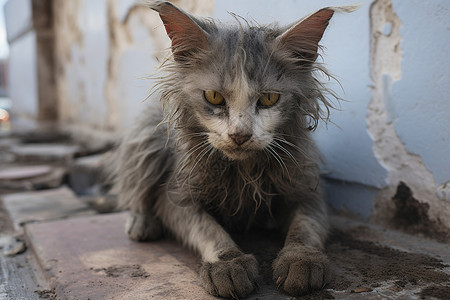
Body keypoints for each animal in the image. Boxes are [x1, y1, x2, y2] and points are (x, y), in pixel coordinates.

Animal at [114, 1, 346, 298]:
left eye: (269, 98)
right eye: (213, 97)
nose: (239, 135)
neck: (244, 171)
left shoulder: (307, 188)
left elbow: (306, 227)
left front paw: (301, 261)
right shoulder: (176, 195)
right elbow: (208, 230)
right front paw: (228, 264)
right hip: (147, 137)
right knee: (137, 190)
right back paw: (141, 223)